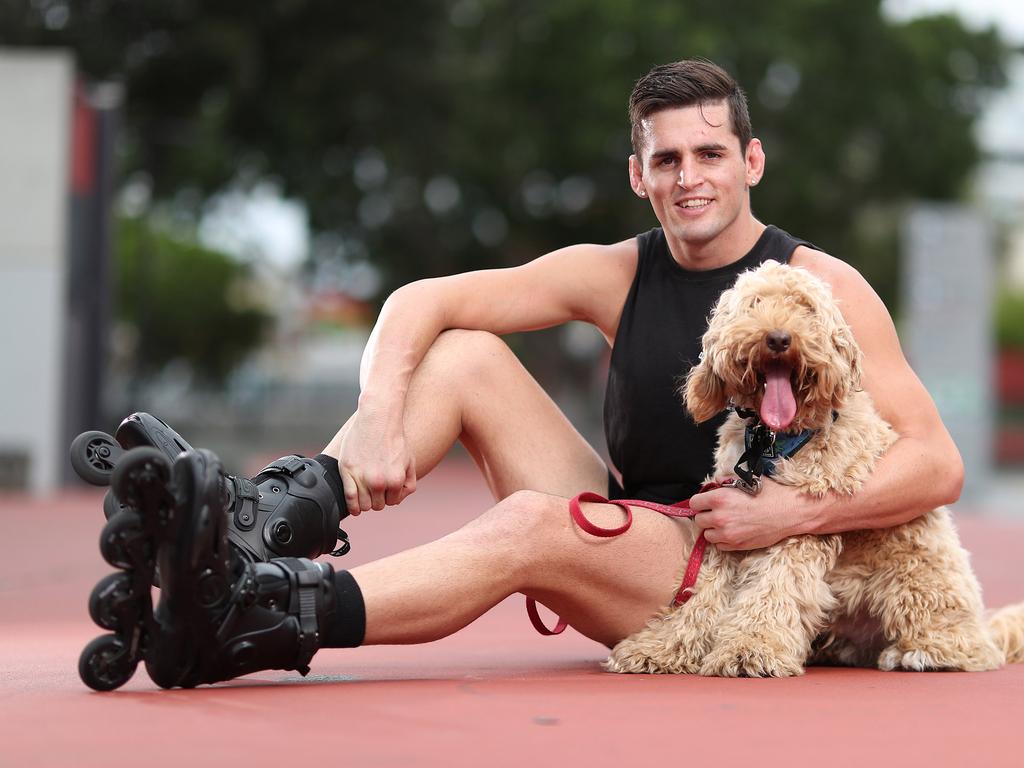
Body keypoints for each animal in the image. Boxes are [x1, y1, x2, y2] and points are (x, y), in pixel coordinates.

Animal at [602, 262, 1024, 675]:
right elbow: (701, 592)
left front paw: (750, 650)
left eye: (805, 307)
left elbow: (772, 589)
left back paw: (919, 654)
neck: (772, 442)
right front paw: (661, 647)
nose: (777, 338)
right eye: (754, 304)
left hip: (916, 578)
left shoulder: (791, 524)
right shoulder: (721, 520)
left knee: (969, 647)